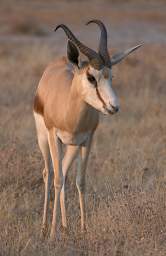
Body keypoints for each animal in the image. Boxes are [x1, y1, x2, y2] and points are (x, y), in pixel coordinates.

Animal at [33, 20, 142, 240]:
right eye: (91, 77)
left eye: (111, 76)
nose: (114, 107)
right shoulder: (53, 136)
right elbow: (57, 180)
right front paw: (52, 233)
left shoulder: (87, 140)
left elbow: (80, 181)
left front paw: (83, 230)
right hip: (44, 140)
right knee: (48, 173)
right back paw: (45, 228)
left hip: (72, 146)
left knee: (64, 171)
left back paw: (66, 227)